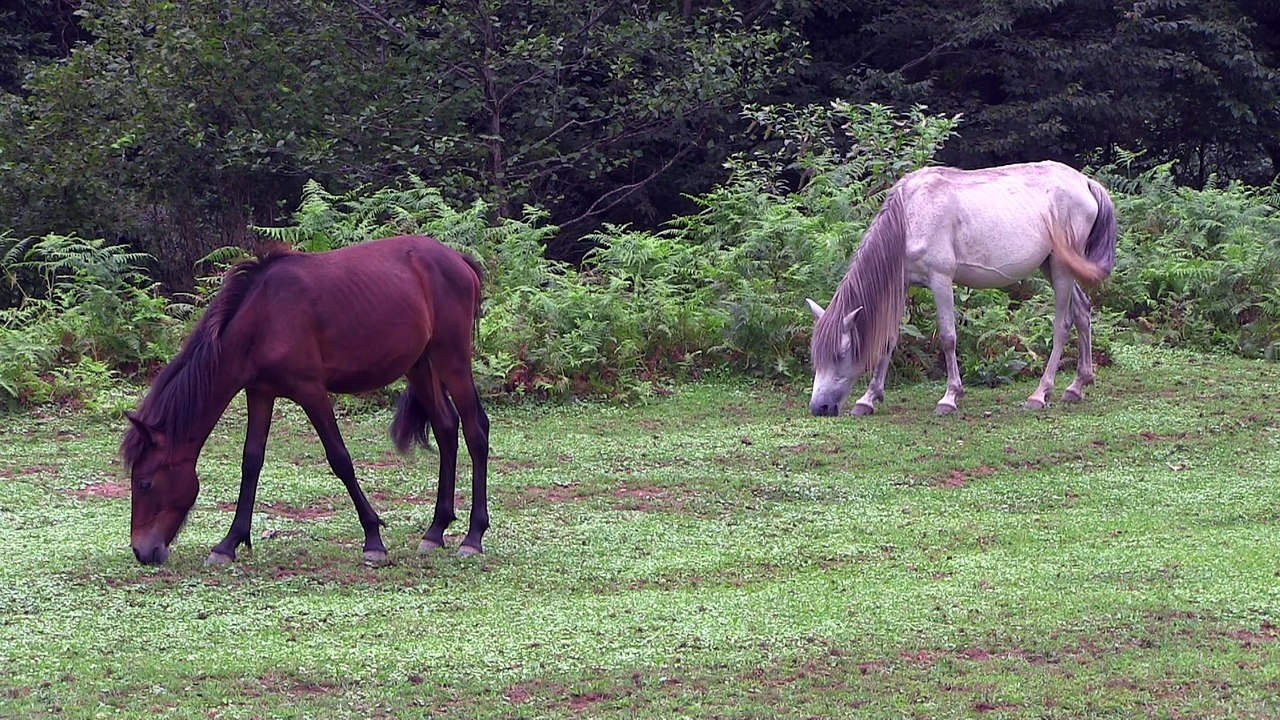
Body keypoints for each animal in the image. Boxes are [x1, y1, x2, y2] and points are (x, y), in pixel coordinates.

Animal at [120, 235, 490, 566]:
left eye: (145, 482)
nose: (142, 551)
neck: (263, 317)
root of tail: (460, 261)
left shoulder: (311, 391)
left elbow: (340, 459)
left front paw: (373, 539)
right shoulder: (260, 392)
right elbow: (251, 462)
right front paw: (229, 544)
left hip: (452, 359)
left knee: (476, 432)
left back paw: (473, 537)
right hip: (420, 365)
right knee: (446, 428)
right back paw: (435, 531)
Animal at [806, 160, 1118, 417]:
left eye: (840, 354)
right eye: (815, 356)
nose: (819, 407)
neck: (910, 216)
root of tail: (1085, 183)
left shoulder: (941, 280)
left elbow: (948, 337)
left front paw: (949, 397)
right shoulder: (903, 284)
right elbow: (889, 339)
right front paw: (868, 399)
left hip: (1062, 270)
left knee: (1062, 325)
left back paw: (1040, 394)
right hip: (1052, 266)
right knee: (1082, 312)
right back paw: (1077, 386)